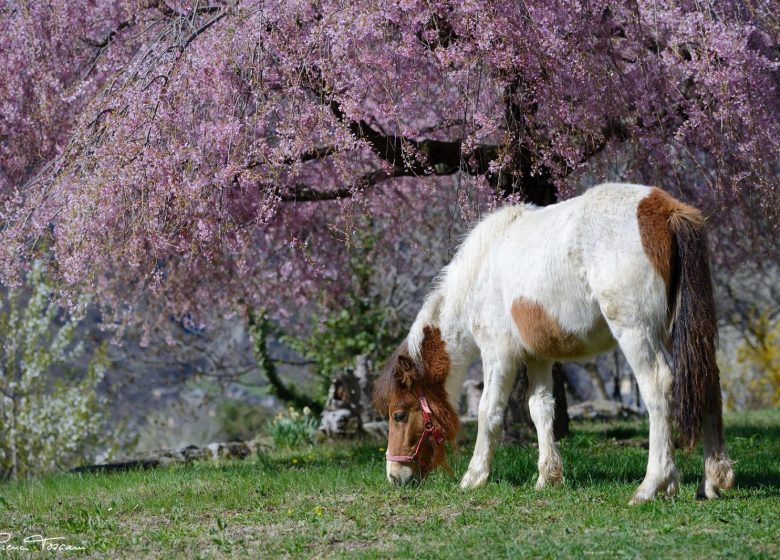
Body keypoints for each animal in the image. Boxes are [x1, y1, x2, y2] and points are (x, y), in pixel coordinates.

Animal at [374, 183, 736, 504]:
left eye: (399, 414)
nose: (394, 476)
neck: (480, 274)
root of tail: (664, 209)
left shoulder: (498, 356)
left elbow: (488, 411)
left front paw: (473, 477)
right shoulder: (538, 357)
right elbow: (541, 409)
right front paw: (547, 477)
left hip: (637, 333)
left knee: (658, 388)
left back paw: (653, 485)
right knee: (705, 381)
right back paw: (711, 482)